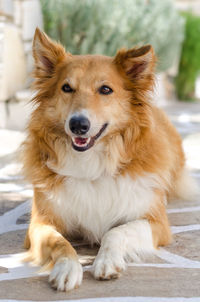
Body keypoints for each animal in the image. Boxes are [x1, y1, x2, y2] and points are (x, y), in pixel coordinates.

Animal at [21, 27, 195, 290]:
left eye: (105, 90)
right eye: (66, 88)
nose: (78, 125)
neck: (92, 164)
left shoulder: (156, 223)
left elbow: (115, 232)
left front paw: (107, 261)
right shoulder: (39, 225)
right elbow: (60, 243)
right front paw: (67, 268)